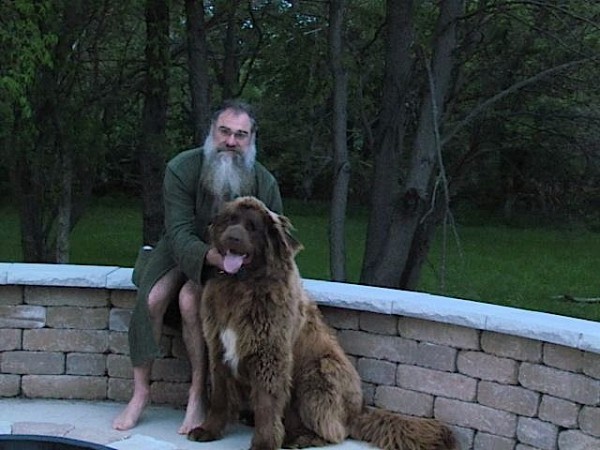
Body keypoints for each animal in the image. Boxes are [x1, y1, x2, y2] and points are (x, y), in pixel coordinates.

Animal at [190, 197, 458, 450]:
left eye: (252, 227)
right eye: (231, 220)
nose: (233, 237)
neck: (240, 286)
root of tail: (359, 412)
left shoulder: (270, 353)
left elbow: (267, 403)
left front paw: (263, 444)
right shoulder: (218, 346)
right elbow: (219, 395)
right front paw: (208, 430)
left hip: (319, 372)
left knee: (335, 432)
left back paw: (301, 438)